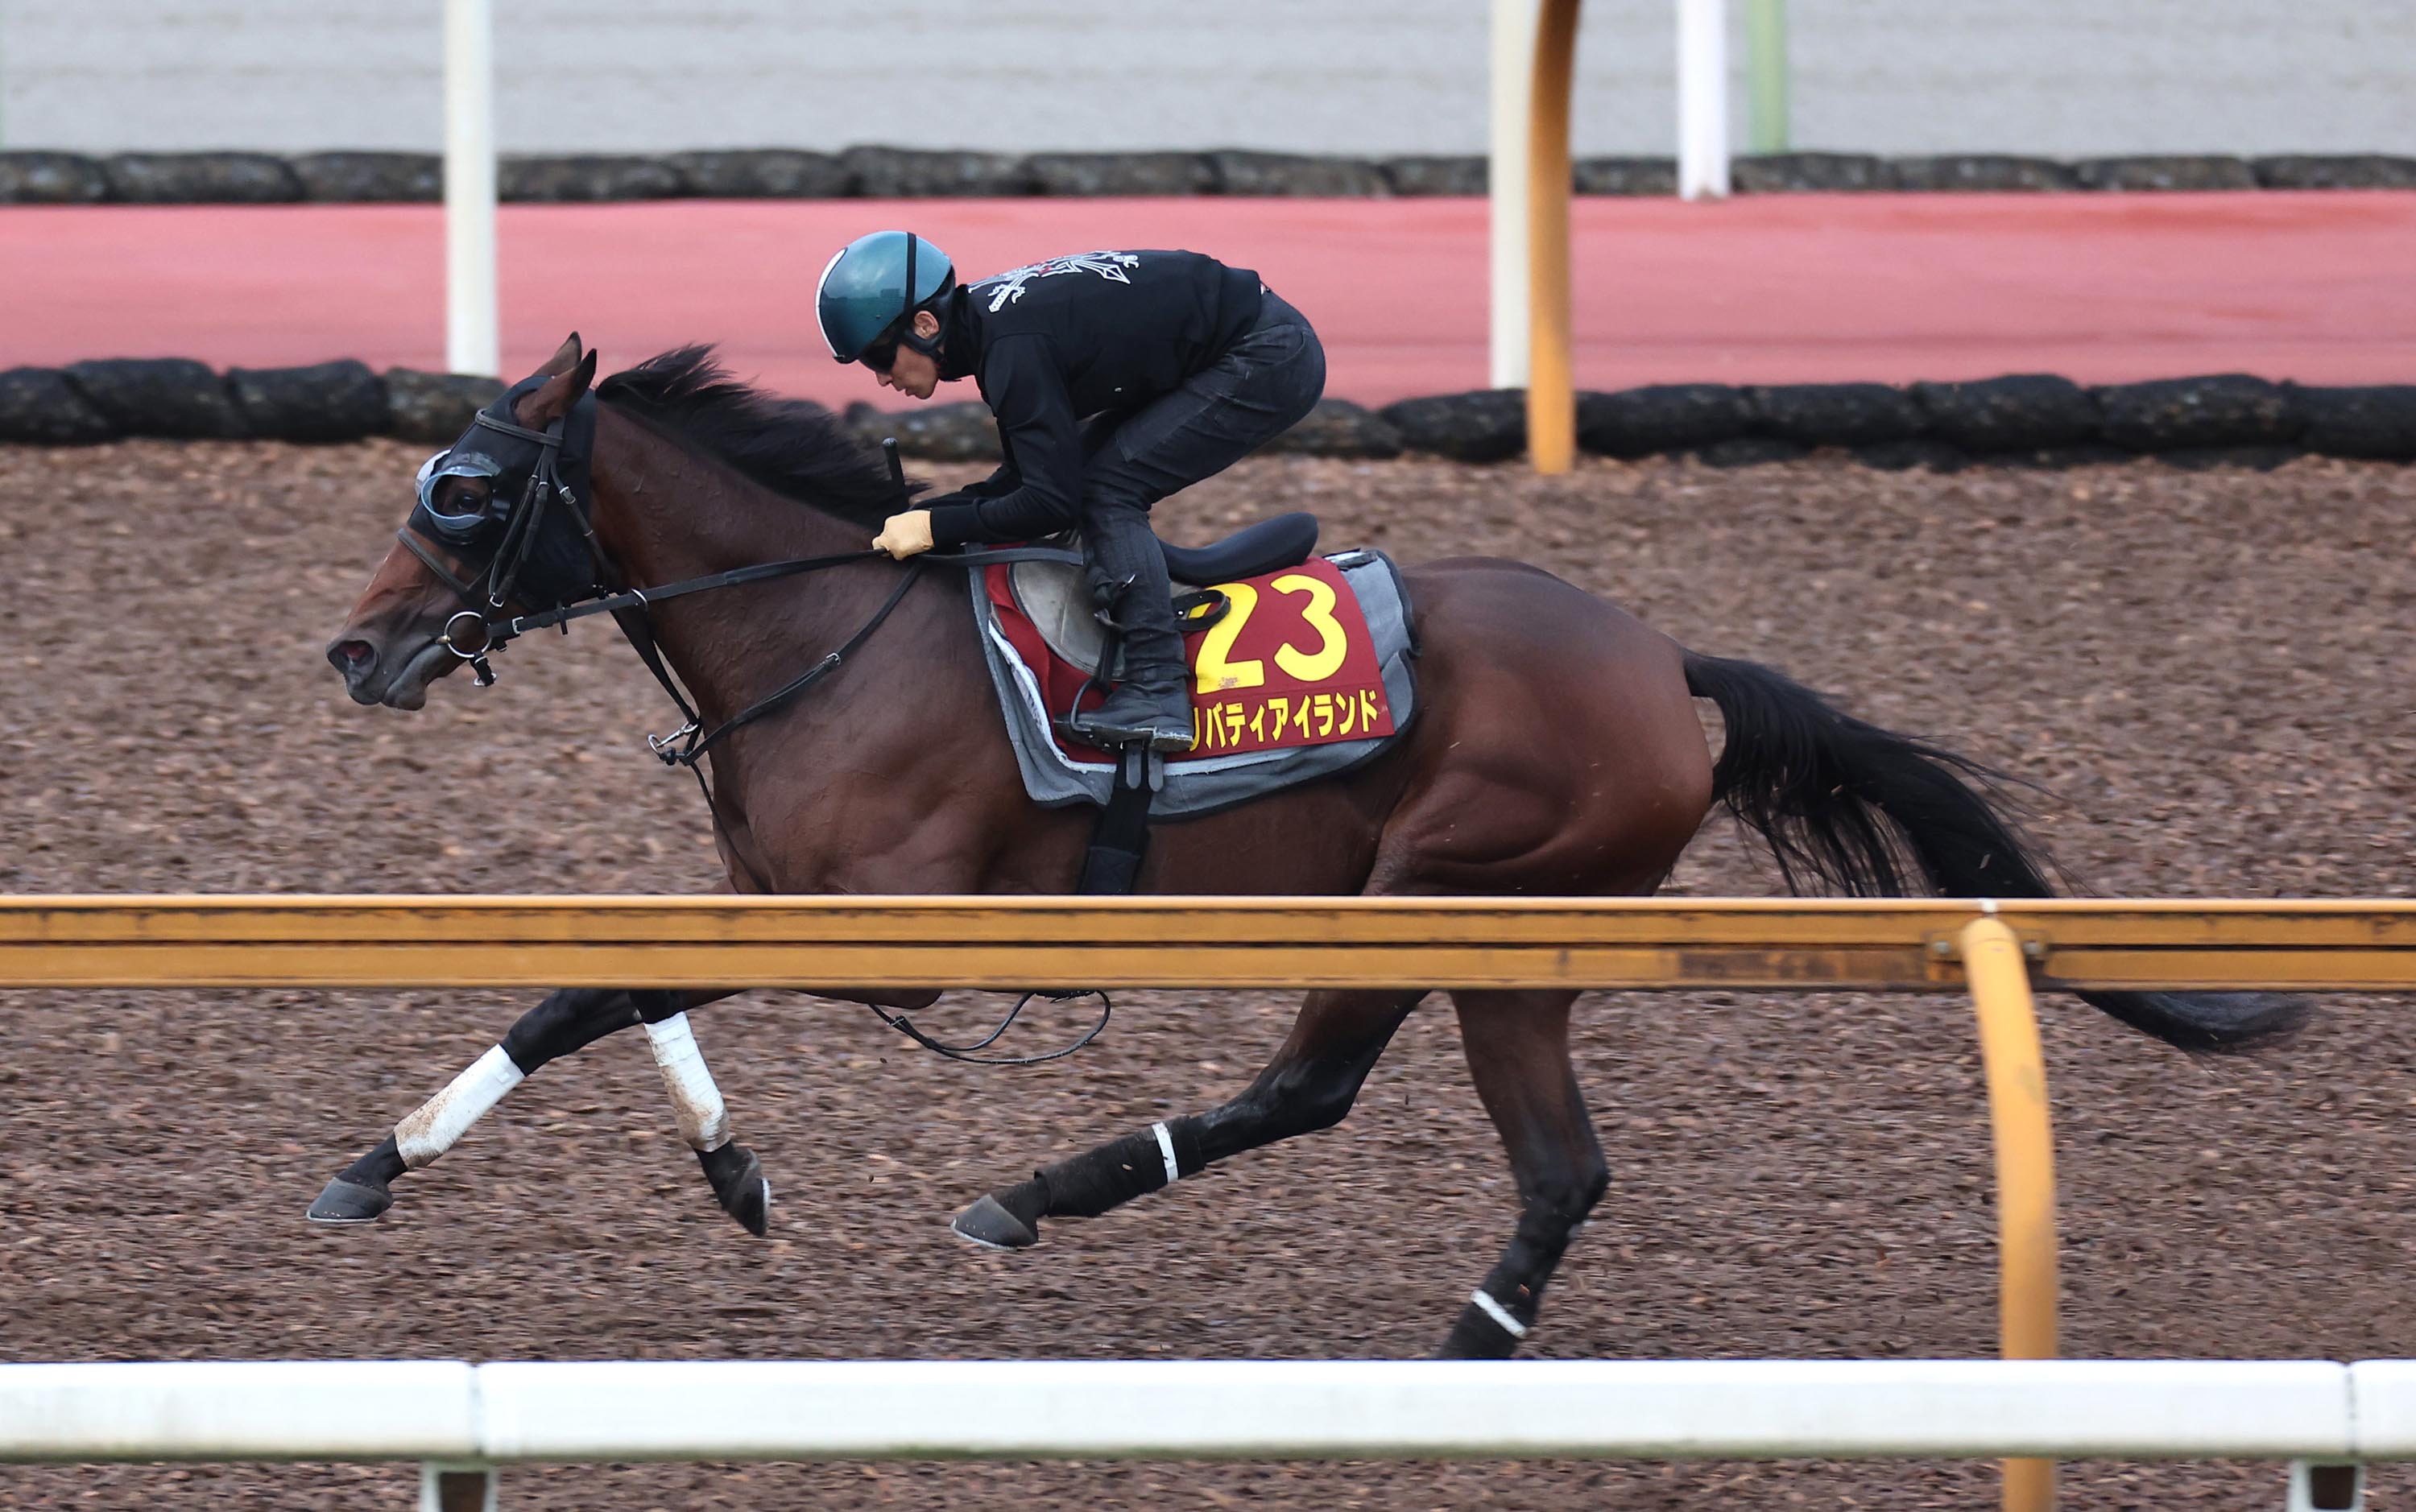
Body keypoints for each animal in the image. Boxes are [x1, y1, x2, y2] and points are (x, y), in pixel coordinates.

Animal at [321, 338, 2300, 1353]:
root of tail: (1664, 661)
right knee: (1502, 1149)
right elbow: (604, 985)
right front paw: (705, 1169)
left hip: (1456, 894)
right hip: (1501, 934)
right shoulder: (778, 894)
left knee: (1356, 1097)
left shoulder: (902, 930)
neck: (826, 622)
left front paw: (378, 1159)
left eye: (467, 491)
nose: (354, 651)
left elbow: (611, 981)